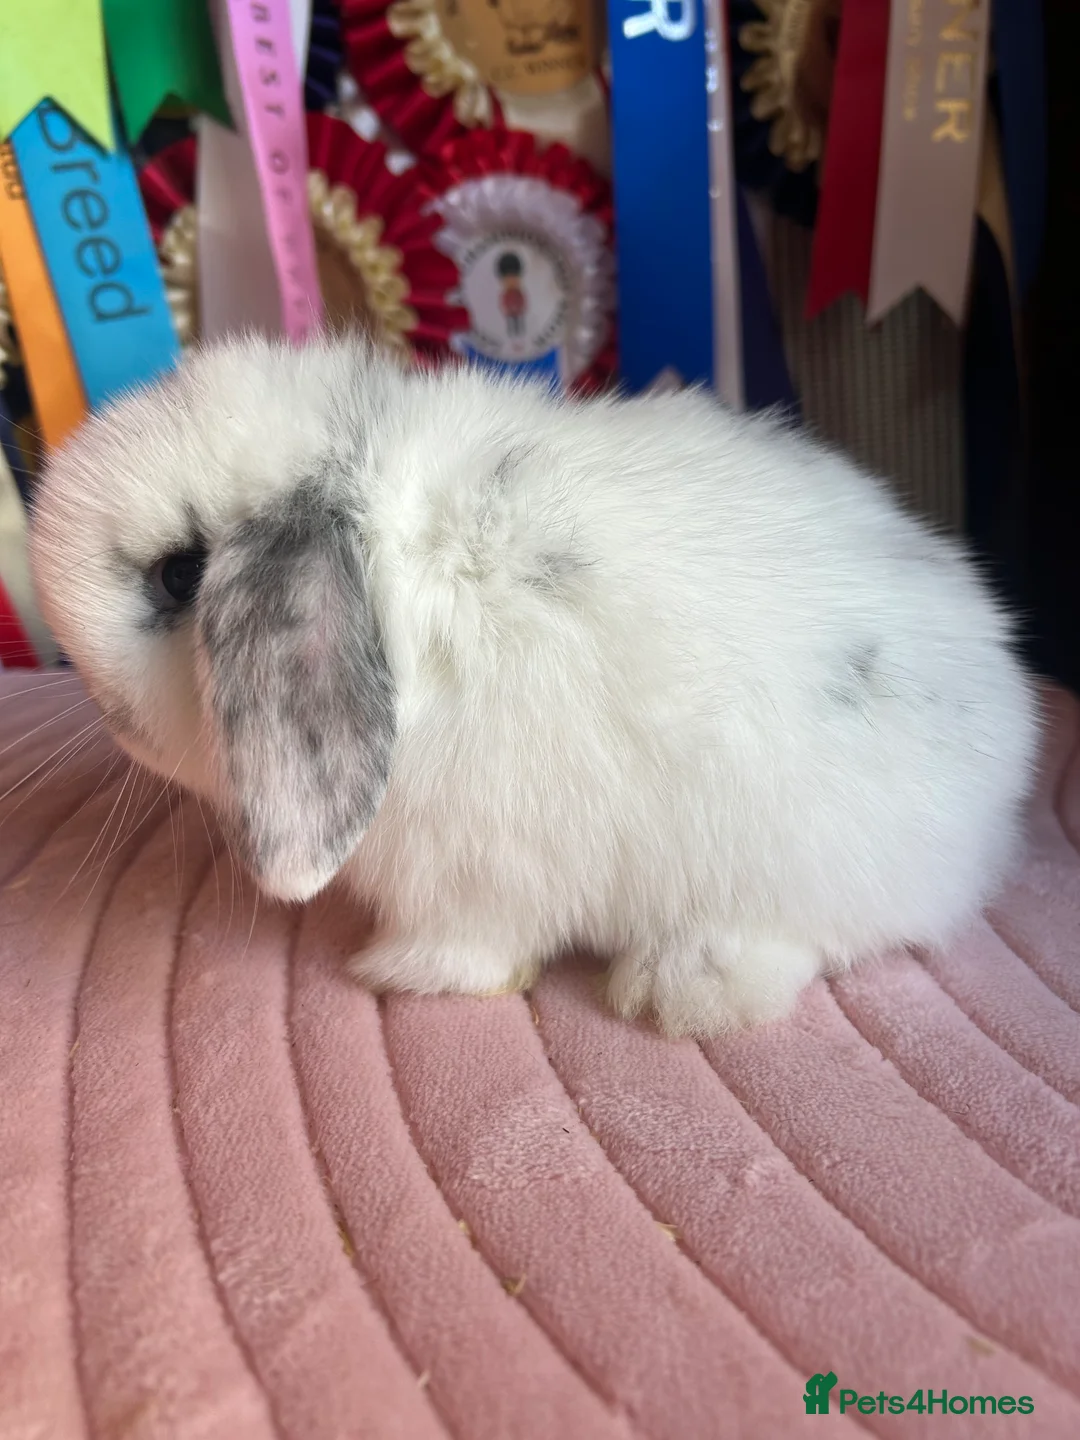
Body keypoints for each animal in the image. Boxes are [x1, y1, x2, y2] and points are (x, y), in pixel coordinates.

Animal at [28, 333, 1039, 1037]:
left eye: (179, 576)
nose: (105, 710)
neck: (400, 562)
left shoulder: (469, 873)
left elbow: (475, 942)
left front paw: (395, 973)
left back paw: (679, 991)